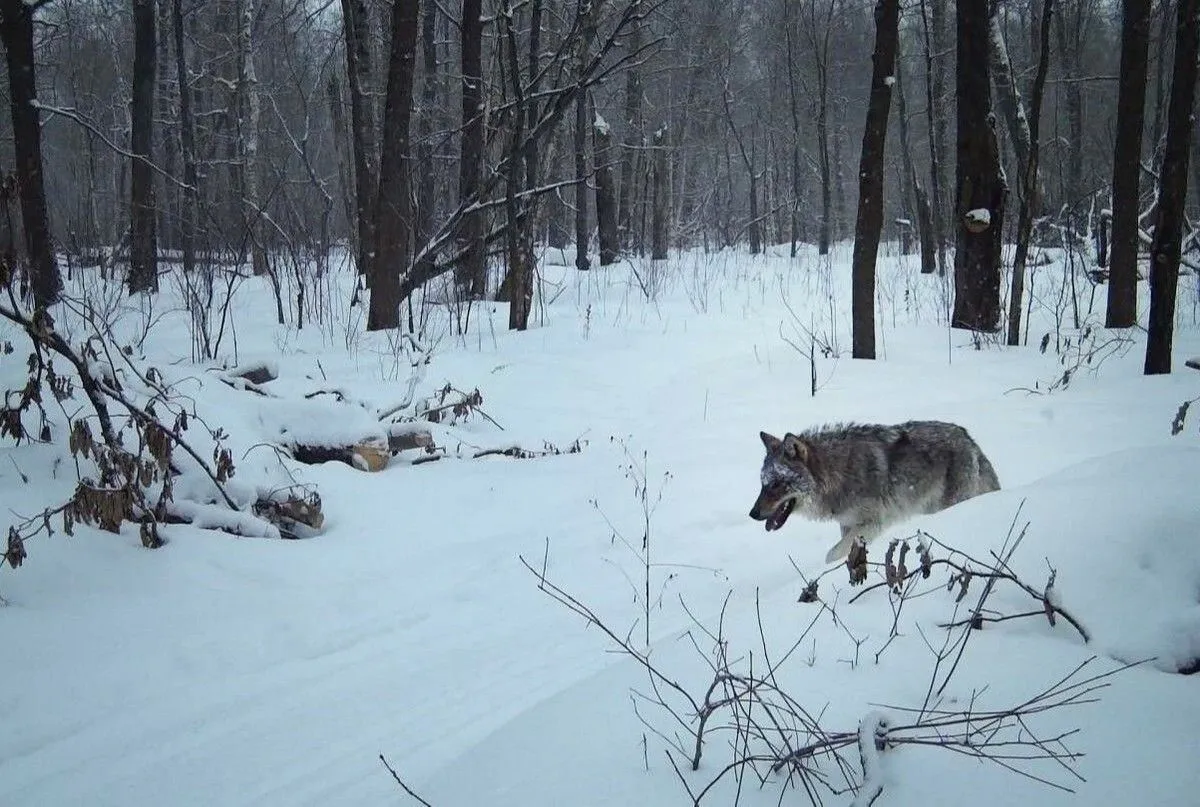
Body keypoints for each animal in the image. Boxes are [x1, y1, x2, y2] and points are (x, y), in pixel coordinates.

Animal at [748, 422, 1003, 562]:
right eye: (763, 484)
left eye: (777, 484)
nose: (752, 514)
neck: (835, 474)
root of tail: (968, 438)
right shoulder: (848, 524)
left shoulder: (872, 524)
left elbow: (832, 555)